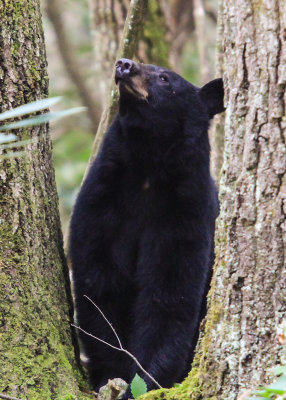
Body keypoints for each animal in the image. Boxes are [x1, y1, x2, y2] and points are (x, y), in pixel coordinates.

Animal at [69, 58, 223, 396]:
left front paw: (145, 380)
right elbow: (100, 286)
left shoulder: (185, 214)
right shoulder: (102, 204)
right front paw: (112, 375)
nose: (124, 64)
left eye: (165, 78)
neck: (147, 172)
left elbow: (169, 295)